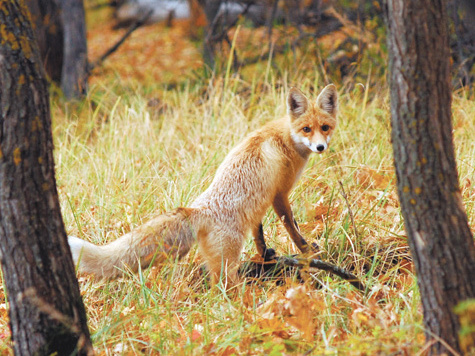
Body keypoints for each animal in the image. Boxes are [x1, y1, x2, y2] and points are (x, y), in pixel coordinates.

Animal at [69, 85, 340, 286]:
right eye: (306, 129)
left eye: (325, 128)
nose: (320, 147)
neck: (286, 139)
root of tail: (197, 210)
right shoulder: (279, 193)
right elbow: (293, 228)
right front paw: (308, 252)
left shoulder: (261, 203)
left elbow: (258, 233)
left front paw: (266, 256)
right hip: (228, 263)